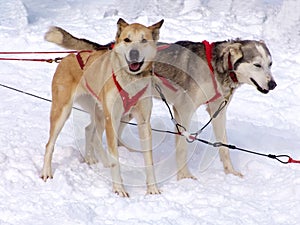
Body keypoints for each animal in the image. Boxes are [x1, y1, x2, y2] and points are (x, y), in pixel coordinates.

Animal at [40, 18, 164, 197]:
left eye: (144, 40)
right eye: (127, 39)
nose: (134, 53)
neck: (130, 82)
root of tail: (69, 56)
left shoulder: (143, 122)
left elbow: (149, 160)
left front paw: (152, 188)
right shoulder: (112, 119)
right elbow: (115, 160)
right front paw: (119, 188)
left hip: (100, 113)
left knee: (90, 132)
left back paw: (93, 159)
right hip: (63, 112)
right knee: (50, 144)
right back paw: (46, 172)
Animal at [44, 25, 276, 181]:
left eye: (270, 64)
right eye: (257, 64)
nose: (273, 84)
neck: (214, 66)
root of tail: (107, 48)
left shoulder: (218, 112)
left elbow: (224, 147)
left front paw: (230, 172)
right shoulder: (183, 110)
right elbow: (182, 148)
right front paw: (184, 177)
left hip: (123, 111)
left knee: (92, 130)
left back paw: (97, 157)